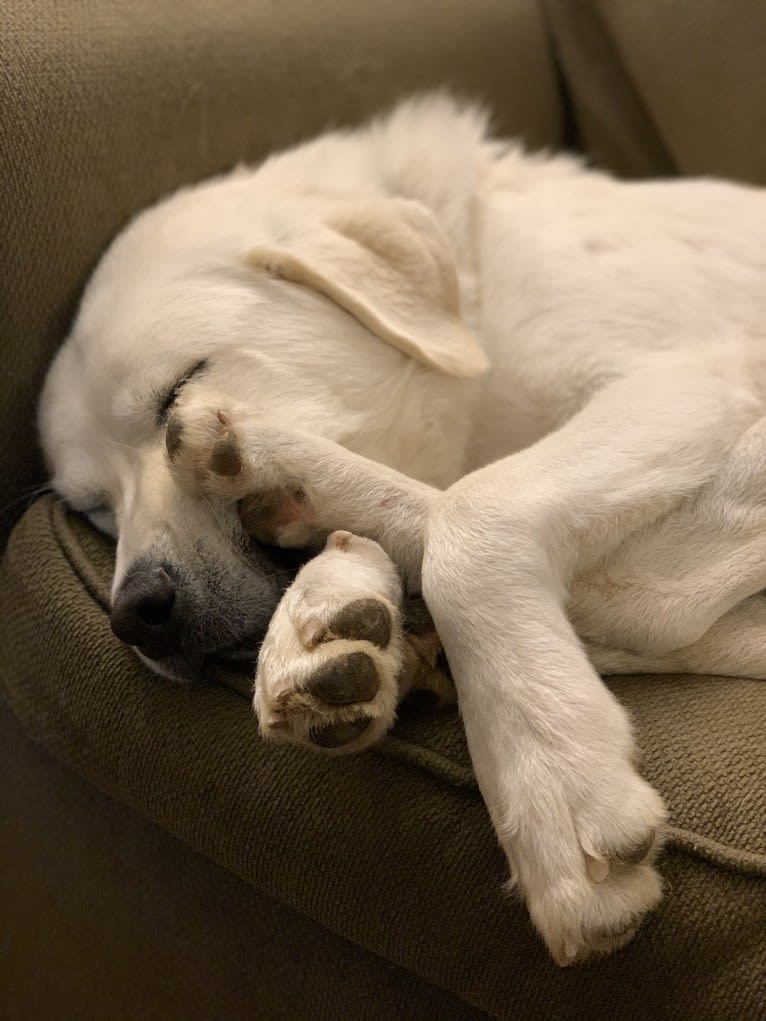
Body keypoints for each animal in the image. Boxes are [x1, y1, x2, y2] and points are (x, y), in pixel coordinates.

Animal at [39, 95, 766, 963]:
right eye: (96, 507)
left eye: (176, 389)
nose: (138, 613)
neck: (479, 294)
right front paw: (335, 615)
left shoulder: (693, 381)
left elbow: (478, 512)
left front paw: (553, 776)